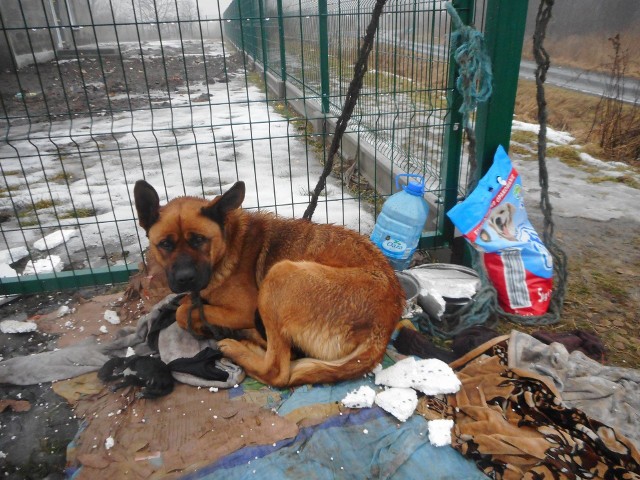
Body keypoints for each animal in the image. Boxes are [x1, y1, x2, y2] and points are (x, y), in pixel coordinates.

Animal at [134, 179, 402, 386]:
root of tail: (384, 325)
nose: (184, 278)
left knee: (277, 370)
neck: (228, 244)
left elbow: (182, 312)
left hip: (278, 275)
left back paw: (239, 345)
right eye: (165, 244)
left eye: (199, 240)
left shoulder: (243, 309)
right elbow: (187, 304)